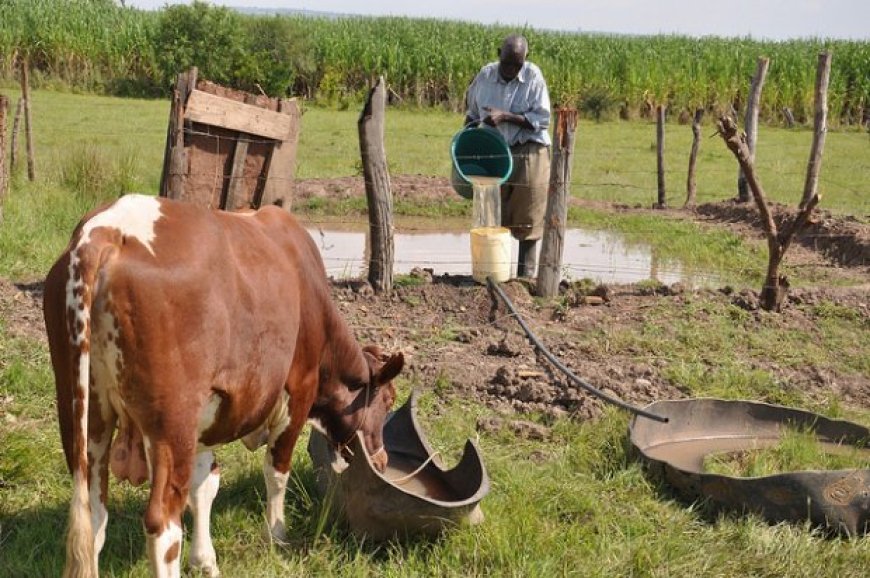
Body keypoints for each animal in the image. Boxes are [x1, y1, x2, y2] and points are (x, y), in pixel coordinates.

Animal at [44, 195, 406, 576]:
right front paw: (277, 536)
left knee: (94, 517)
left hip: (85, 415)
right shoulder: (298, 392)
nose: (382, 460)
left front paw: (205, 559)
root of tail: (106, 230)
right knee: (163, 526)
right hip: (171, 423)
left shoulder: (209, 411)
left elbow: (204, 485)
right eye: (388, 400)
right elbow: (277, 470)